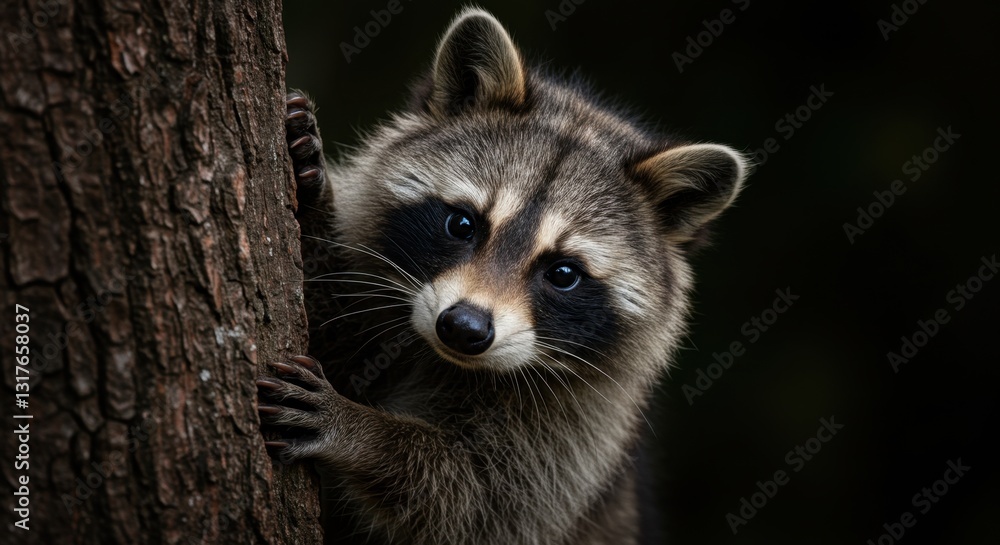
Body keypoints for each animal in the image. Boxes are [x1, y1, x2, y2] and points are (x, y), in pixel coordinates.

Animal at [258, 8, 748, 545]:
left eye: (563, 273)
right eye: (463, 224)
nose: (463, 328)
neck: (442, 358)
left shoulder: (582, 427)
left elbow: (477, 502)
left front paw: (363, 434)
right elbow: (331, 321)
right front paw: (312, 205)